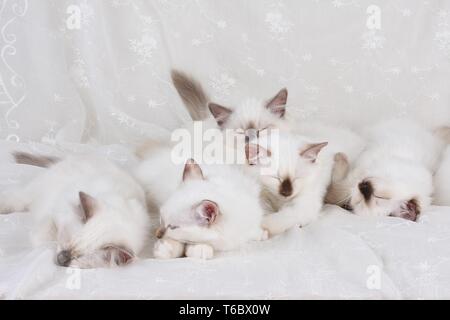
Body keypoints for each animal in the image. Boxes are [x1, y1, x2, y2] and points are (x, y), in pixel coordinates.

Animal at [0, 152, 151, 268]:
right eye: (68, 240)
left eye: (80, 257)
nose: (61, 259)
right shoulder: (53, 213)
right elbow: (42, 237)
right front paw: (44, 246)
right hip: (34, 191)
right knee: (17, 199)